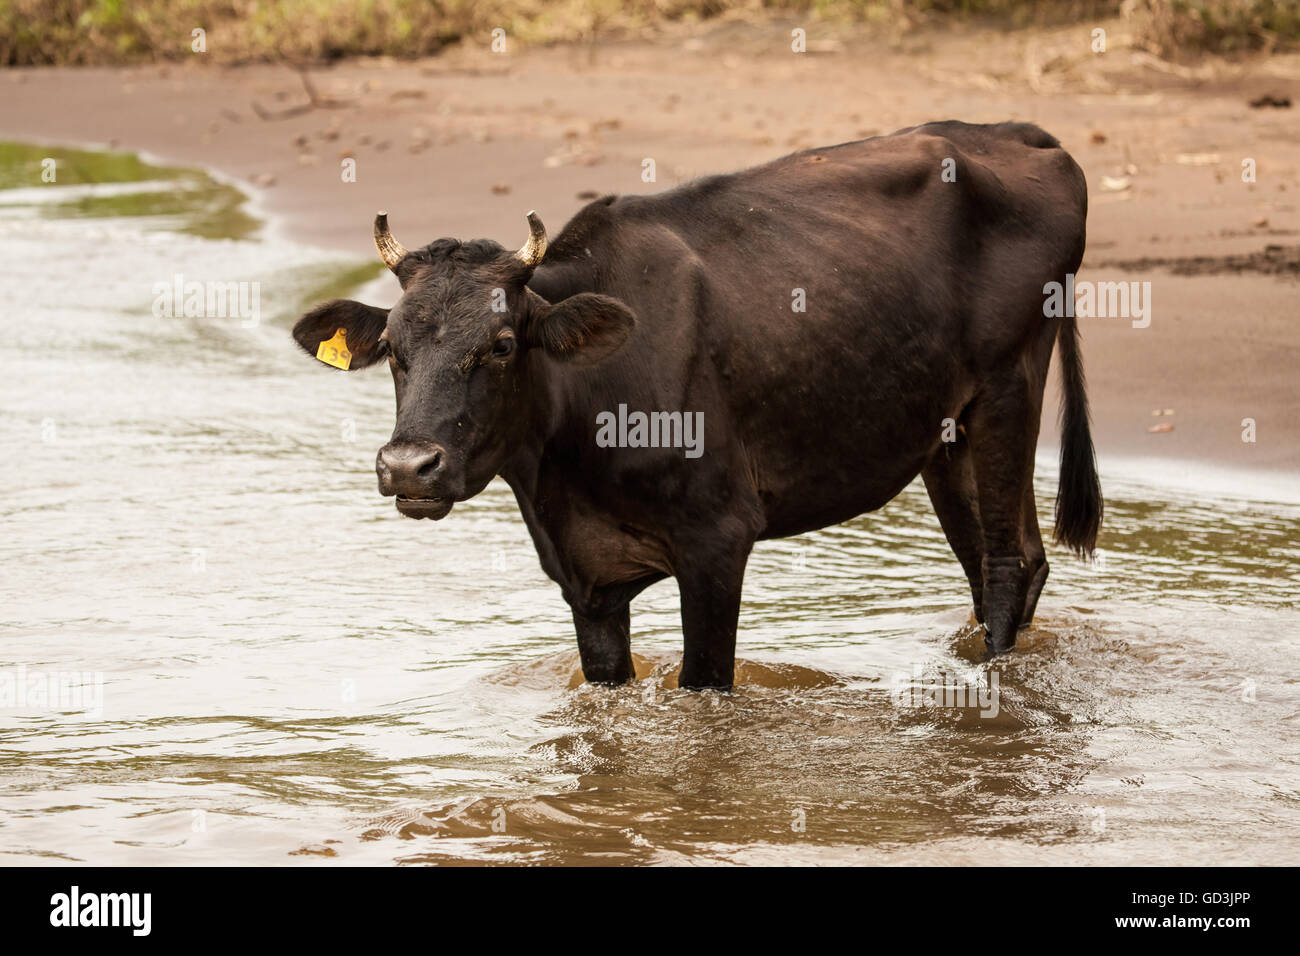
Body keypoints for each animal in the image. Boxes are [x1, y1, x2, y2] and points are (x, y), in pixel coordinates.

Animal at [297, 121, 1107, 686]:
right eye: (393, 346)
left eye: (501, 343)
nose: (409, 466)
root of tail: (1022, 136)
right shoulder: (586, 579)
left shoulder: (718, 540)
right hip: (944, 429)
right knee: (1002, 563)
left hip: (1007, 388)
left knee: (1005, 565)